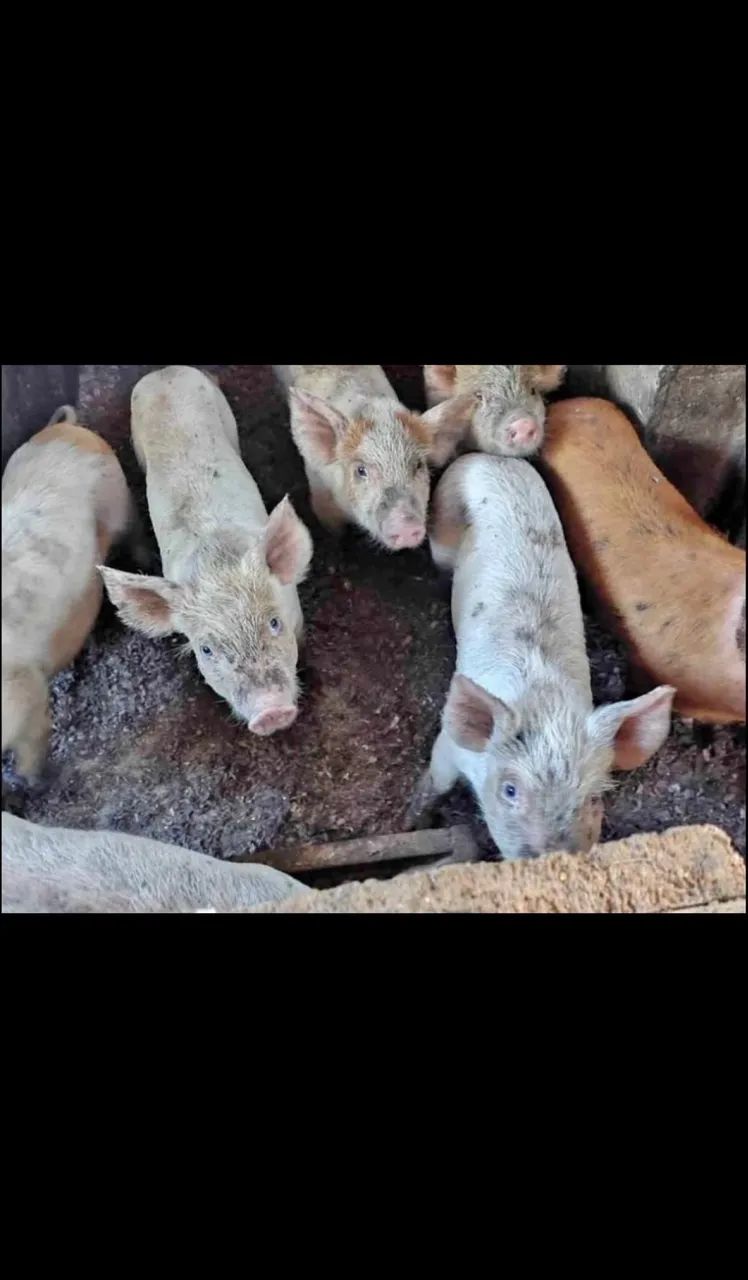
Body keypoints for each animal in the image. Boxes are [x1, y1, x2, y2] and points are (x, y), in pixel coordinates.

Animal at [410, 453, 675, 861]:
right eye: (510, 790)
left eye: (593, 799)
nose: (555, 857)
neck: (546, 700)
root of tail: (493, 458)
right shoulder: (450, 745)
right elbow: (437, 779)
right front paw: (415, 818)